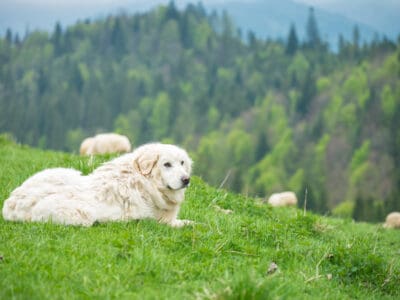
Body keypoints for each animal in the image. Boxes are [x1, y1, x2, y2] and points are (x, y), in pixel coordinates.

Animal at [1, 144, 195, 227]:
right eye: (167, 164)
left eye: (182, 163)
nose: (186, 179)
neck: (145, 182)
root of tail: (10, 204)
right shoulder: (158, 221)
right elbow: (186, 224)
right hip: (82, 213)